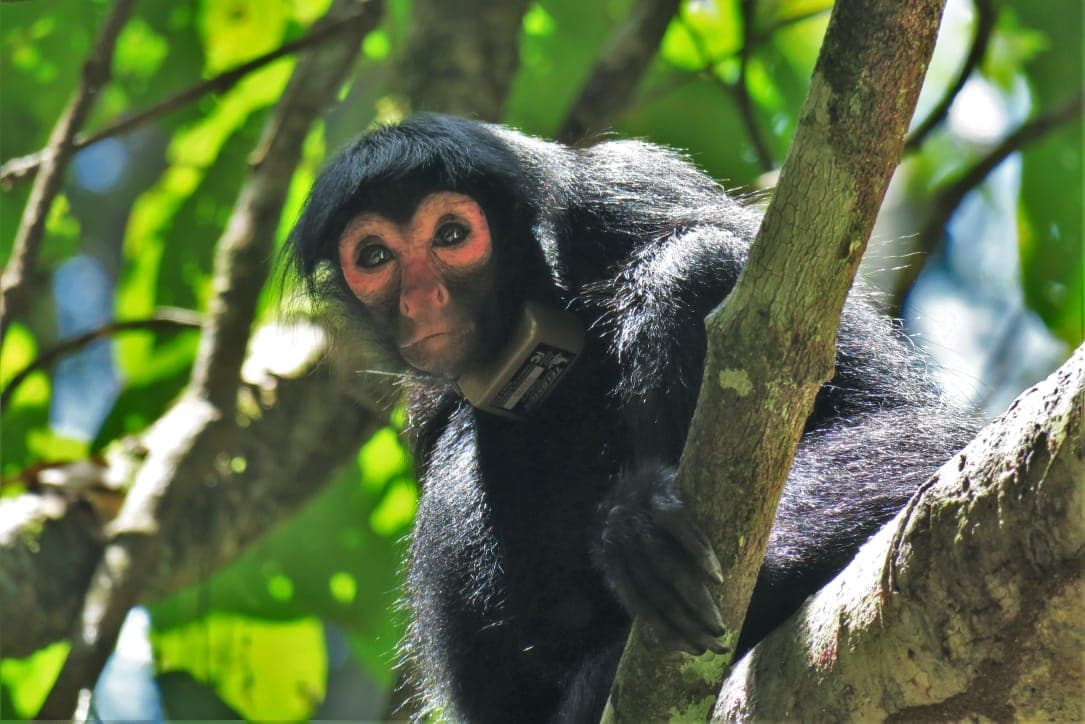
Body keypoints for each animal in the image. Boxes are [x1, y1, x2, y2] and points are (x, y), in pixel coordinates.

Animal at [286, 114, 976, 724]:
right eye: (375, 256)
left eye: (452, 236)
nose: (421, 299)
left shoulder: (635, 192)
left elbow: (925, 429)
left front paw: (646, 534)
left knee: (694, 265)